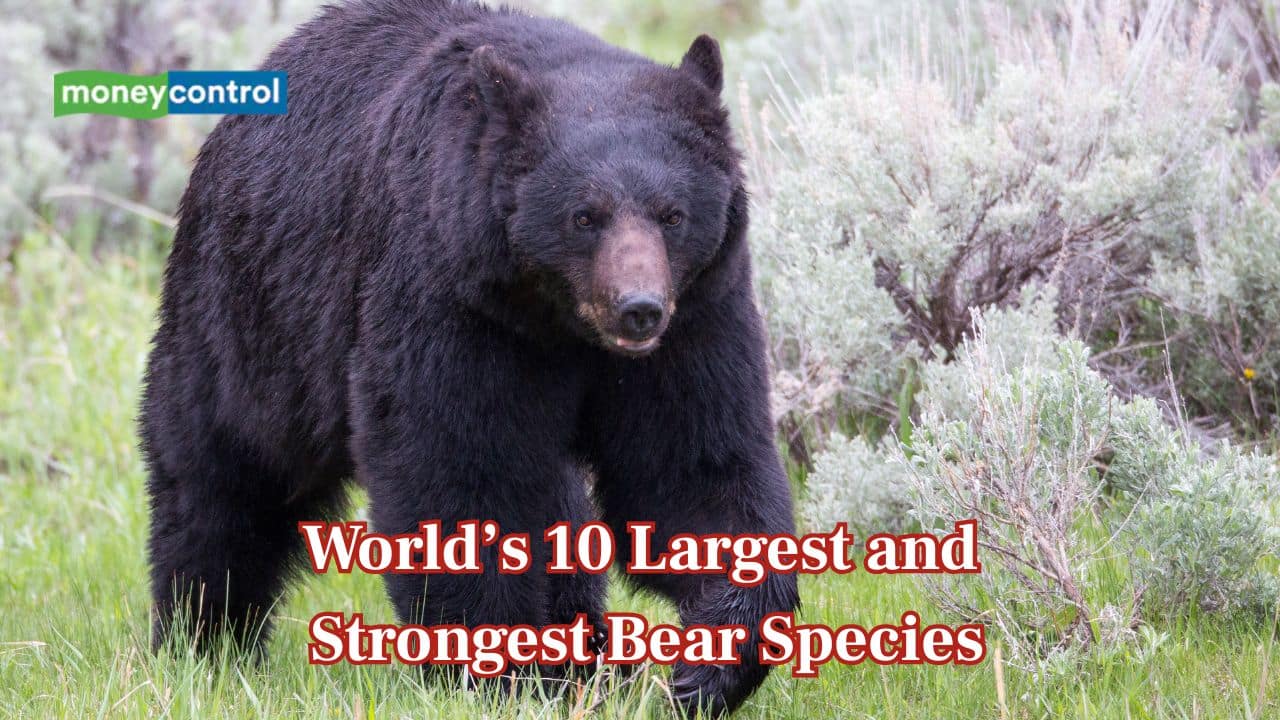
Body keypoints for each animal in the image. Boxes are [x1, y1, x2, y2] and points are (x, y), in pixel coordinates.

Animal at [139, 0, 799, 714]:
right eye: (584, 216)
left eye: (673, 214)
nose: (639, 308)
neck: (556, 322)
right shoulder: (448, 297)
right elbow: (456, 470)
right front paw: (491, 668)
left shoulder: (698, 315)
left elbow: (690, 463)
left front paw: (709, 666)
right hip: (251, 314)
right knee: (221, 474)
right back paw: (205, 640)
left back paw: (585, 656)